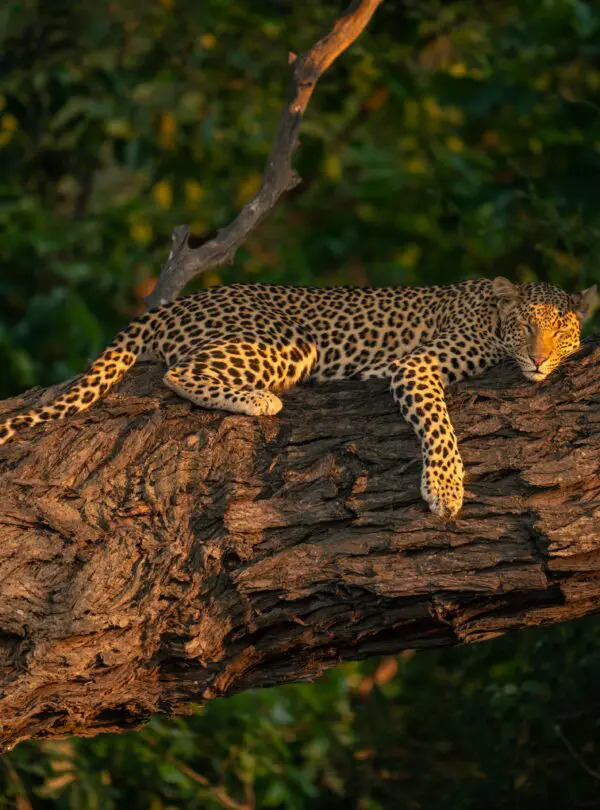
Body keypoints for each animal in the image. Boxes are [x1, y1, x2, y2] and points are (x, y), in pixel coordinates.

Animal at [0, 277, 596, 518]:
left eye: (560, 331)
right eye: (526, 327)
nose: (539, 359)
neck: (491, 318)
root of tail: (175, 304)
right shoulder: (417, 365)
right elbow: (439, 427)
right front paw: (446, 489)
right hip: (289, 341)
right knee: (178, 374)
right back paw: (260, 401)